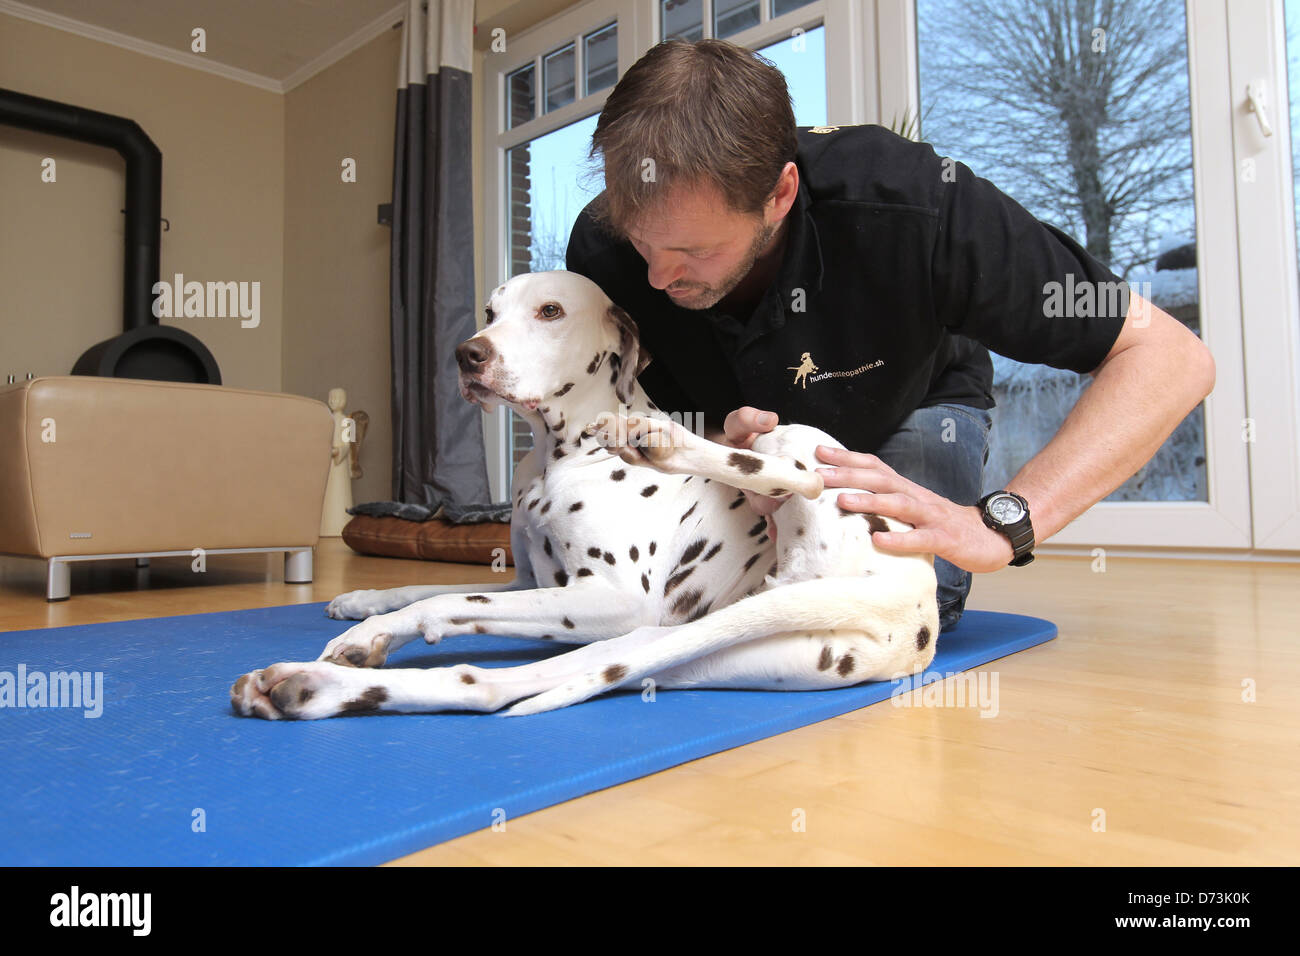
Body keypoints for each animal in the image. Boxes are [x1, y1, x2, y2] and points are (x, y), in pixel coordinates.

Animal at [233, 269, 941, 717]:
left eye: (550, 311)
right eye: (490, 313)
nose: (467, 354)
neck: (559, 456)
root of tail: (913, 601)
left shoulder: (610, 596)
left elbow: (443, 599)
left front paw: (379, 626)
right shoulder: (530, 585)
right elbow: (426, 587)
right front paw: (362, 606)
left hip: (781, 460)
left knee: (801, 470)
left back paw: (657, 437)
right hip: (666, 648)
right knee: (486, 684)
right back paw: (304, 688)